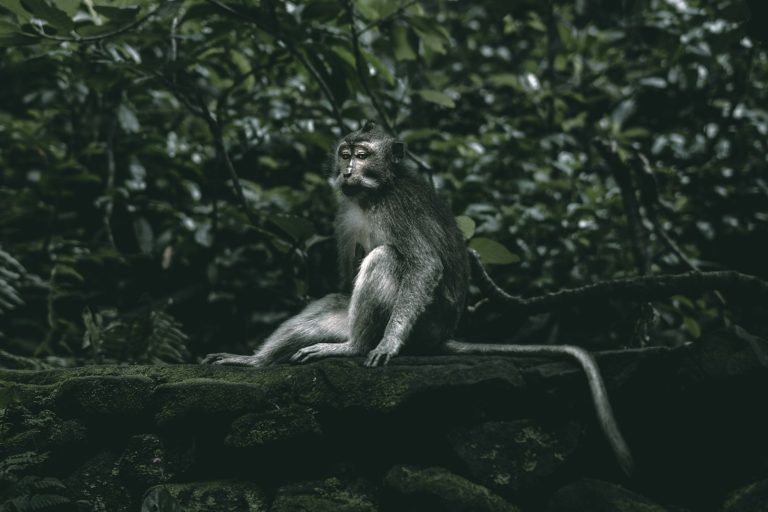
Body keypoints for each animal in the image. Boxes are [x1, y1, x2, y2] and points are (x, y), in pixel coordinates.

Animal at [202, 121, 633, 476]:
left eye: (362, 155)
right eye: (345, 153)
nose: (347, 171)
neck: (373, 195)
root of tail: (447, 333)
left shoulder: (398, 209)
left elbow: (424, 265)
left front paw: (389, 344)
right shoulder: (343, 214)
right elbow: (341, 286)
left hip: (426, 323)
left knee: (387, 258)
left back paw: (354, 347)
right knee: (332, 305)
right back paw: (257, 361)